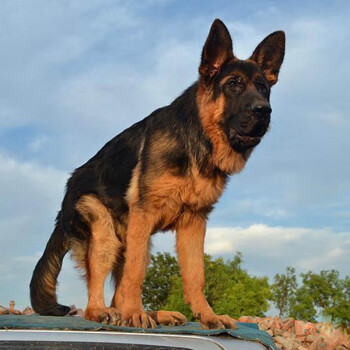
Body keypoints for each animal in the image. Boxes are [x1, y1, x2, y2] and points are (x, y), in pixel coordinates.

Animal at [30, 19, 284, 330]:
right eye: (233, 84)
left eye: (263, 87)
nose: (264, 110)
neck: (196, 140)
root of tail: (64, 202)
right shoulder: (145, 214)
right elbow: (136, 274)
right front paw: (135, 314)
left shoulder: (194, 222)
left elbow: (196, 275)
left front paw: (208, 316)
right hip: (105, 235)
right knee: (100, 295)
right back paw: (108, 312)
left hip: (132, 241)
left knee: (119, 293)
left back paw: (153, 314)